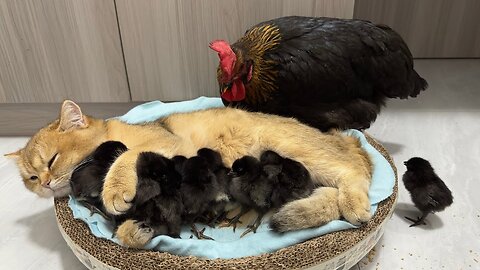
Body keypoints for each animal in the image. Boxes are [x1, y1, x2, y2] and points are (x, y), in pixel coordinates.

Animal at [8, 100, 376, 248]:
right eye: (30, 178)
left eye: (52, 160)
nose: (43, 183)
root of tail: (343, 137)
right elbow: (126, 232)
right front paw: (136, 231)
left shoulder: (168, 146)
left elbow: (127, 156)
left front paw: (115, 187)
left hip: (299, 151)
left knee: (354, 173)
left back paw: (356, 206)